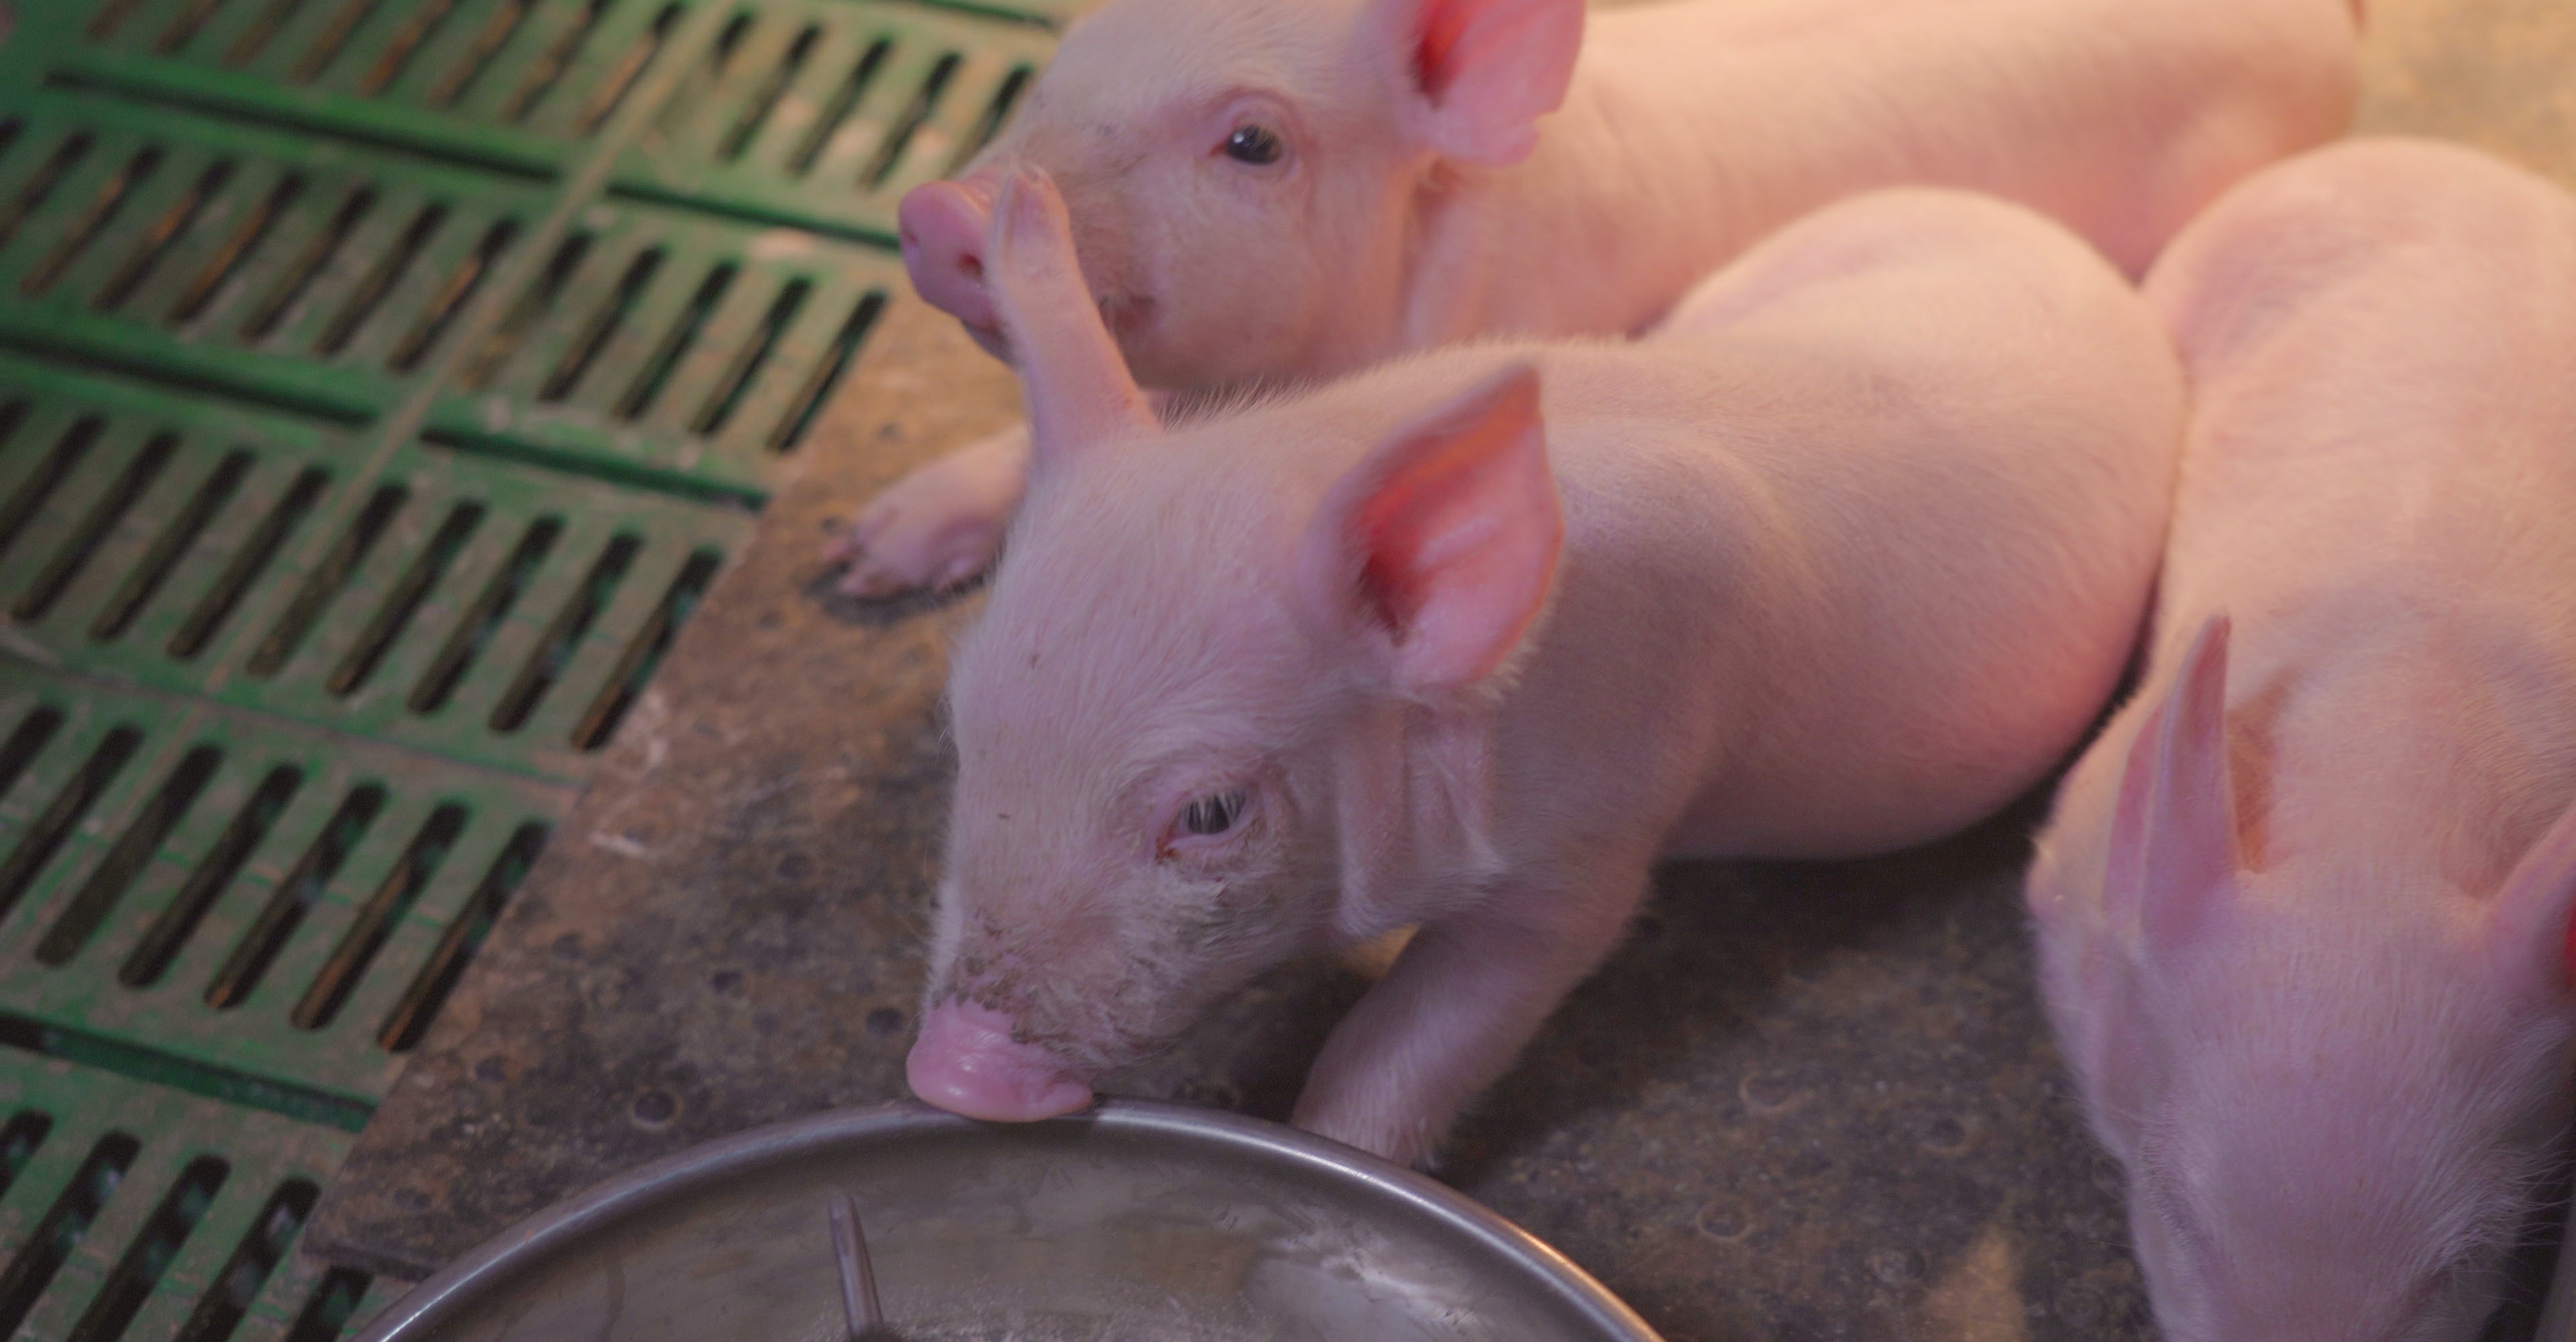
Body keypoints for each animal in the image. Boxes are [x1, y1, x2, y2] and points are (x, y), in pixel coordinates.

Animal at [902, 165, 2185, 1165]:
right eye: (967, 733)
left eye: (1211, 813)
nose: (951, 1071)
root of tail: (2050, 238)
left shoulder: (1596, 835)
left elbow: (1422, 1032)